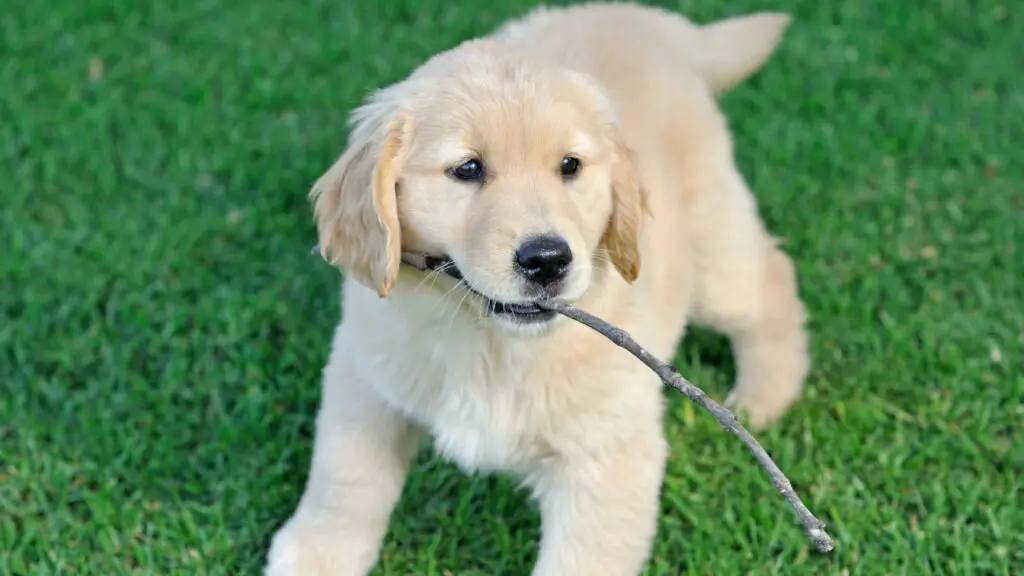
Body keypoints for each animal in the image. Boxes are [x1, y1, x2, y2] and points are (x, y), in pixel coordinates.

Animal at [270, 2, 806, 569]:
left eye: (570, 166)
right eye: (467, 168)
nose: (547, 260)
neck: (489, 341)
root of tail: (648, 22)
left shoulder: (606, 453)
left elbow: (583, 558)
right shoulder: (366, 378)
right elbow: (344, 482)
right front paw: (313, 555)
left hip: (713, 263)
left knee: (771, 276)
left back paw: (766, 396)